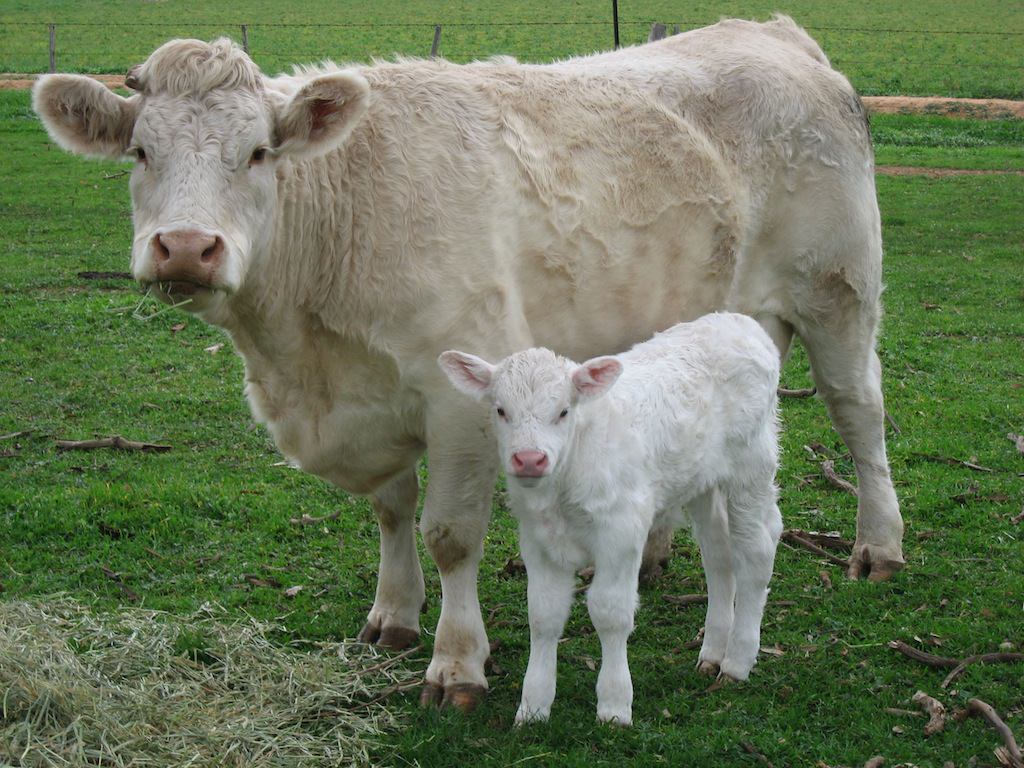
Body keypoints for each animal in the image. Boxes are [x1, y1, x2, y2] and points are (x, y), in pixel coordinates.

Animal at [439, 313, 783, 725]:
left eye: (563, 411)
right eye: (501, 410)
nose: (529, 459)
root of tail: (740, 322)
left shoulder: (621, 533)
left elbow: (610, 612)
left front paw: (615, 705)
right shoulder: (537, 541)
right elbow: (543, 615)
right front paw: (533, 706)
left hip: (751, 465)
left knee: (756, 551)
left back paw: (737, 661)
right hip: (703, 479)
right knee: (718, 554)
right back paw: (713, 652)